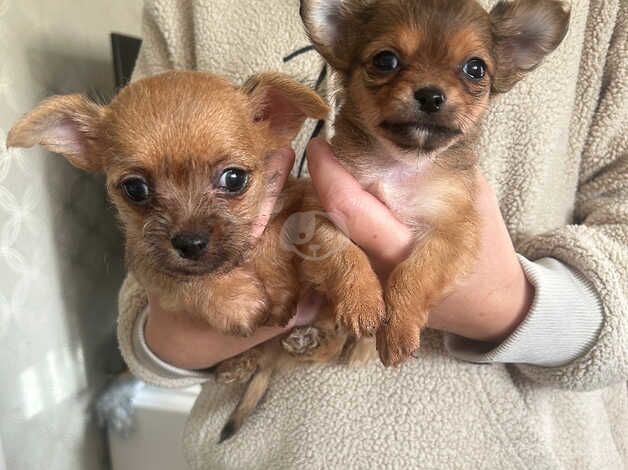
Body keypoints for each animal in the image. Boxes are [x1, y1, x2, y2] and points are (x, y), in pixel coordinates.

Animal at [302, 0, 572, 366]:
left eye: (475, 68)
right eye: (385, 60)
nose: (431, 95)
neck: (401, 164)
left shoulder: (453, 232)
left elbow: (414, 273)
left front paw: (397, 327)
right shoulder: (316, 212)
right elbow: (342, 252)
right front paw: (361, 302)